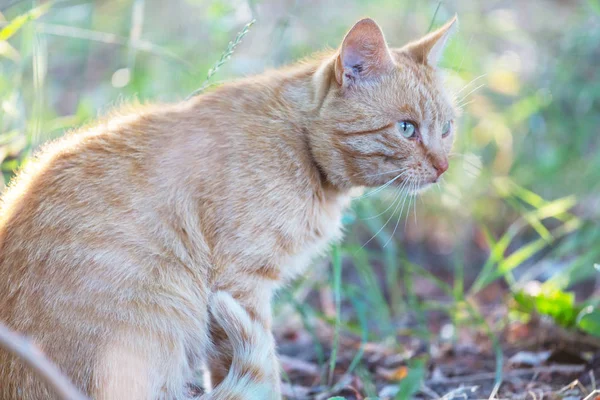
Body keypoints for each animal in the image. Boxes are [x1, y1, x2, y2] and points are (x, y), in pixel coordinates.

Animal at [0, 15, 458, 400]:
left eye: (447, 128)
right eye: (406, 128)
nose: (443, 166)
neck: (299, 144)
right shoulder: (240, 281)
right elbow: (263, 365)